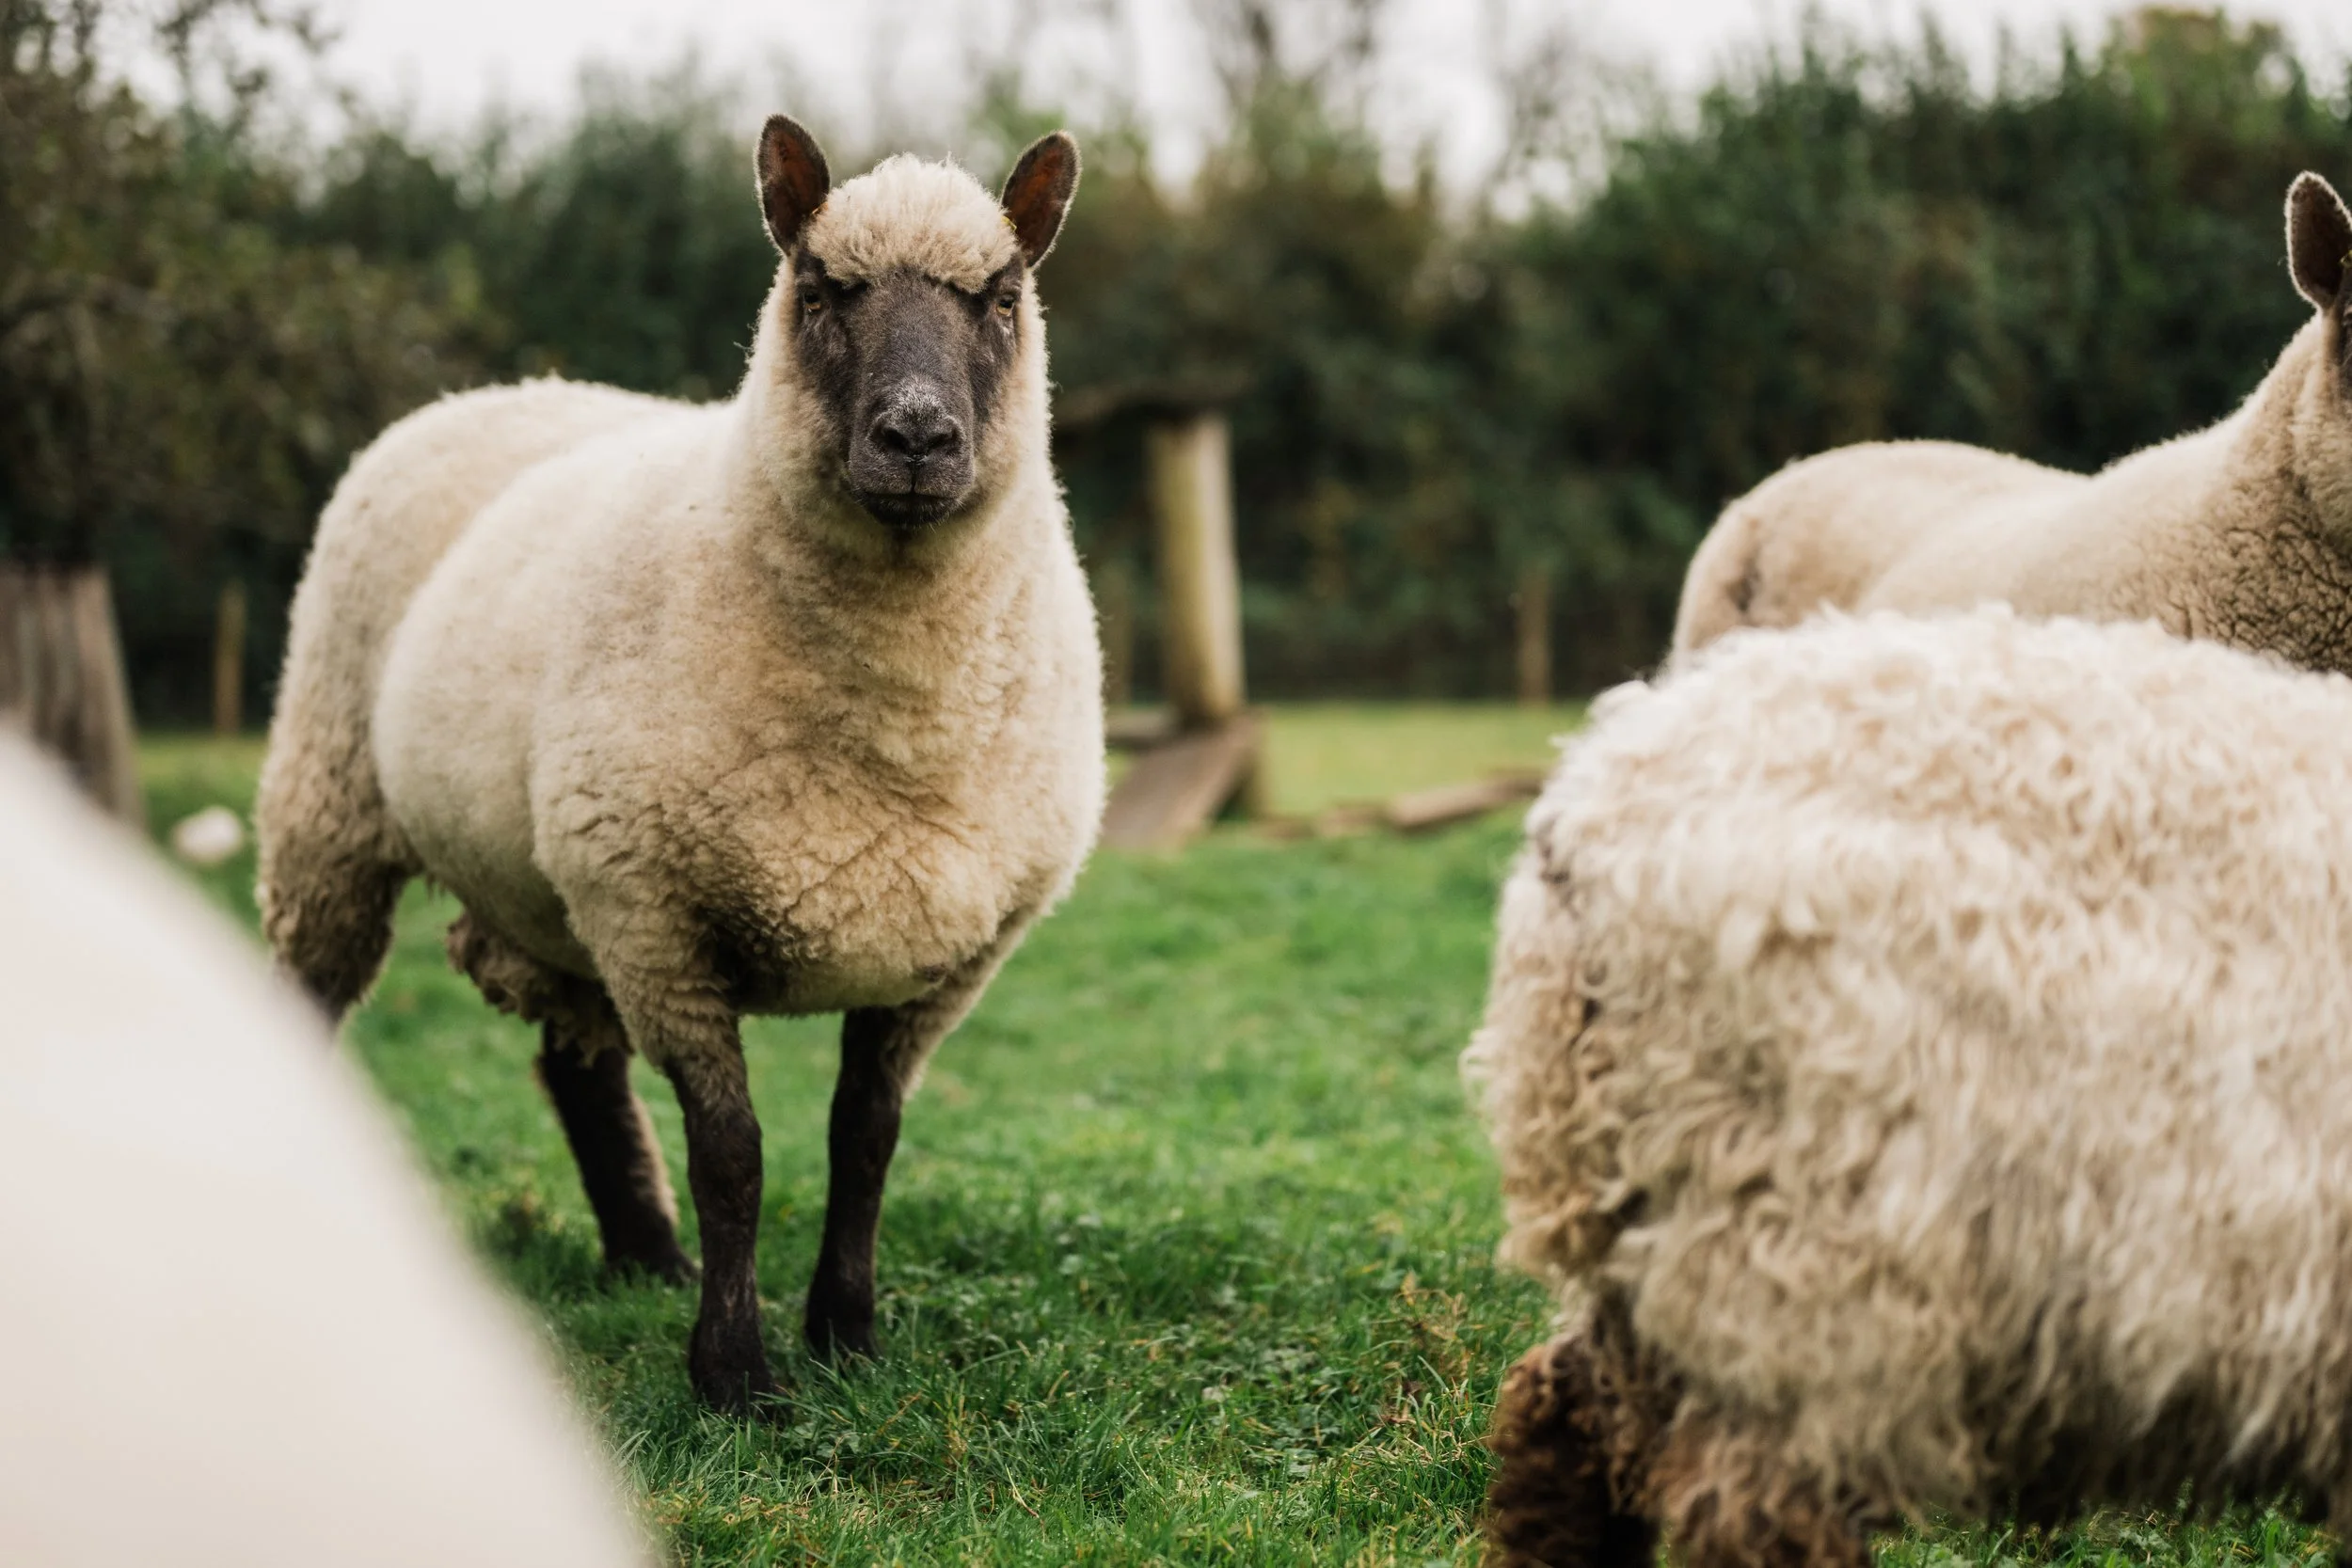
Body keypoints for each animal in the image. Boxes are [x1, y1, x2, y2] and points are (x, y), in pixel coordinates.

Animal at [254, 118, 1103, 1414]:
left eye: (1001, 296)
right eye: (821, 289)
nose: (917, 438)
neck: (902, 712)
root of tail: (505, 389)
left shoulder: (945, 951)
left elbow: (864, 1137)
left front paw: (845, 1335)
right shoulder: (659, 914)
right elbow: (733, 1154)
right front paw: (736, 1376)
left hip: (550, 882)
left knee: (575, 1063)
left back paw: (645, 1252)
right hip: (335, 812)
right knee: (316, 997)